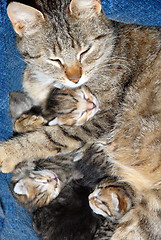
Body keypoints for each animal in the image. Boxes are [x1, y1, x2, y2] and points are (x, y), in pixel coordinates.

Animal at [1, 0, 161, 239]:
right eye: (54, 59)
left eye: (85, 51)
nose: (75, 78)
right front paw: (28, 120)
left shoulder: (101, 119)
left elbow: (50, 137)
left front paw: (8, 152)